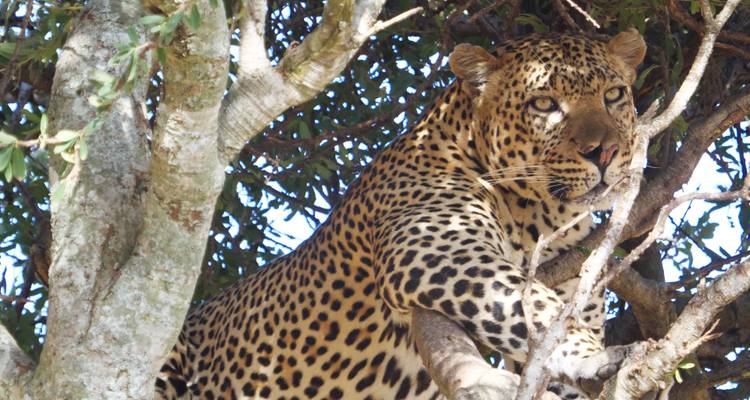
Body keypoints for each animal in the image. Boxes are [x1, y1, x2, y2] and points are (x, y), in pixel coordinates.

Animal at [155, 30, 647, 400]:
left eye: (614, 95)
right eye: (544, 104)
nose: (604, 152)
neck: (545, 217)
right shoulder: (437, 248)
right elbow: (542, 312)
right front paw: (597, 355)